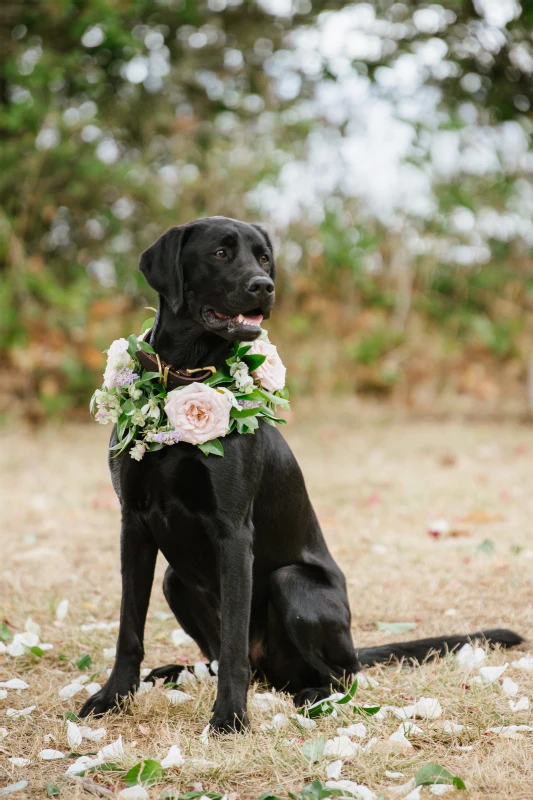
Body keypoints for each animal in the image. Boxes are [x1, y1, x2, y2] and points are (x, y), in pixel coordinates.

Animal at [79, 217, 520, 732]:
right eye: (220, 253)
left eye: (263, 258)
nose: (264, 286)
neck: (185, 375)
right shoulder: (133, 523)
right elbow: (129, 628)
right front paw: (112, 697)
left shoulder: (233, 531)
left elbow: (232, 644)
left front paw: (229, 718)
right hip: (175, 580)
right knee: (228, 659)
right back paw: (176, 673)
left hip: (293, 585)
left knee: (334, 676)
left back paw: (312, 695)